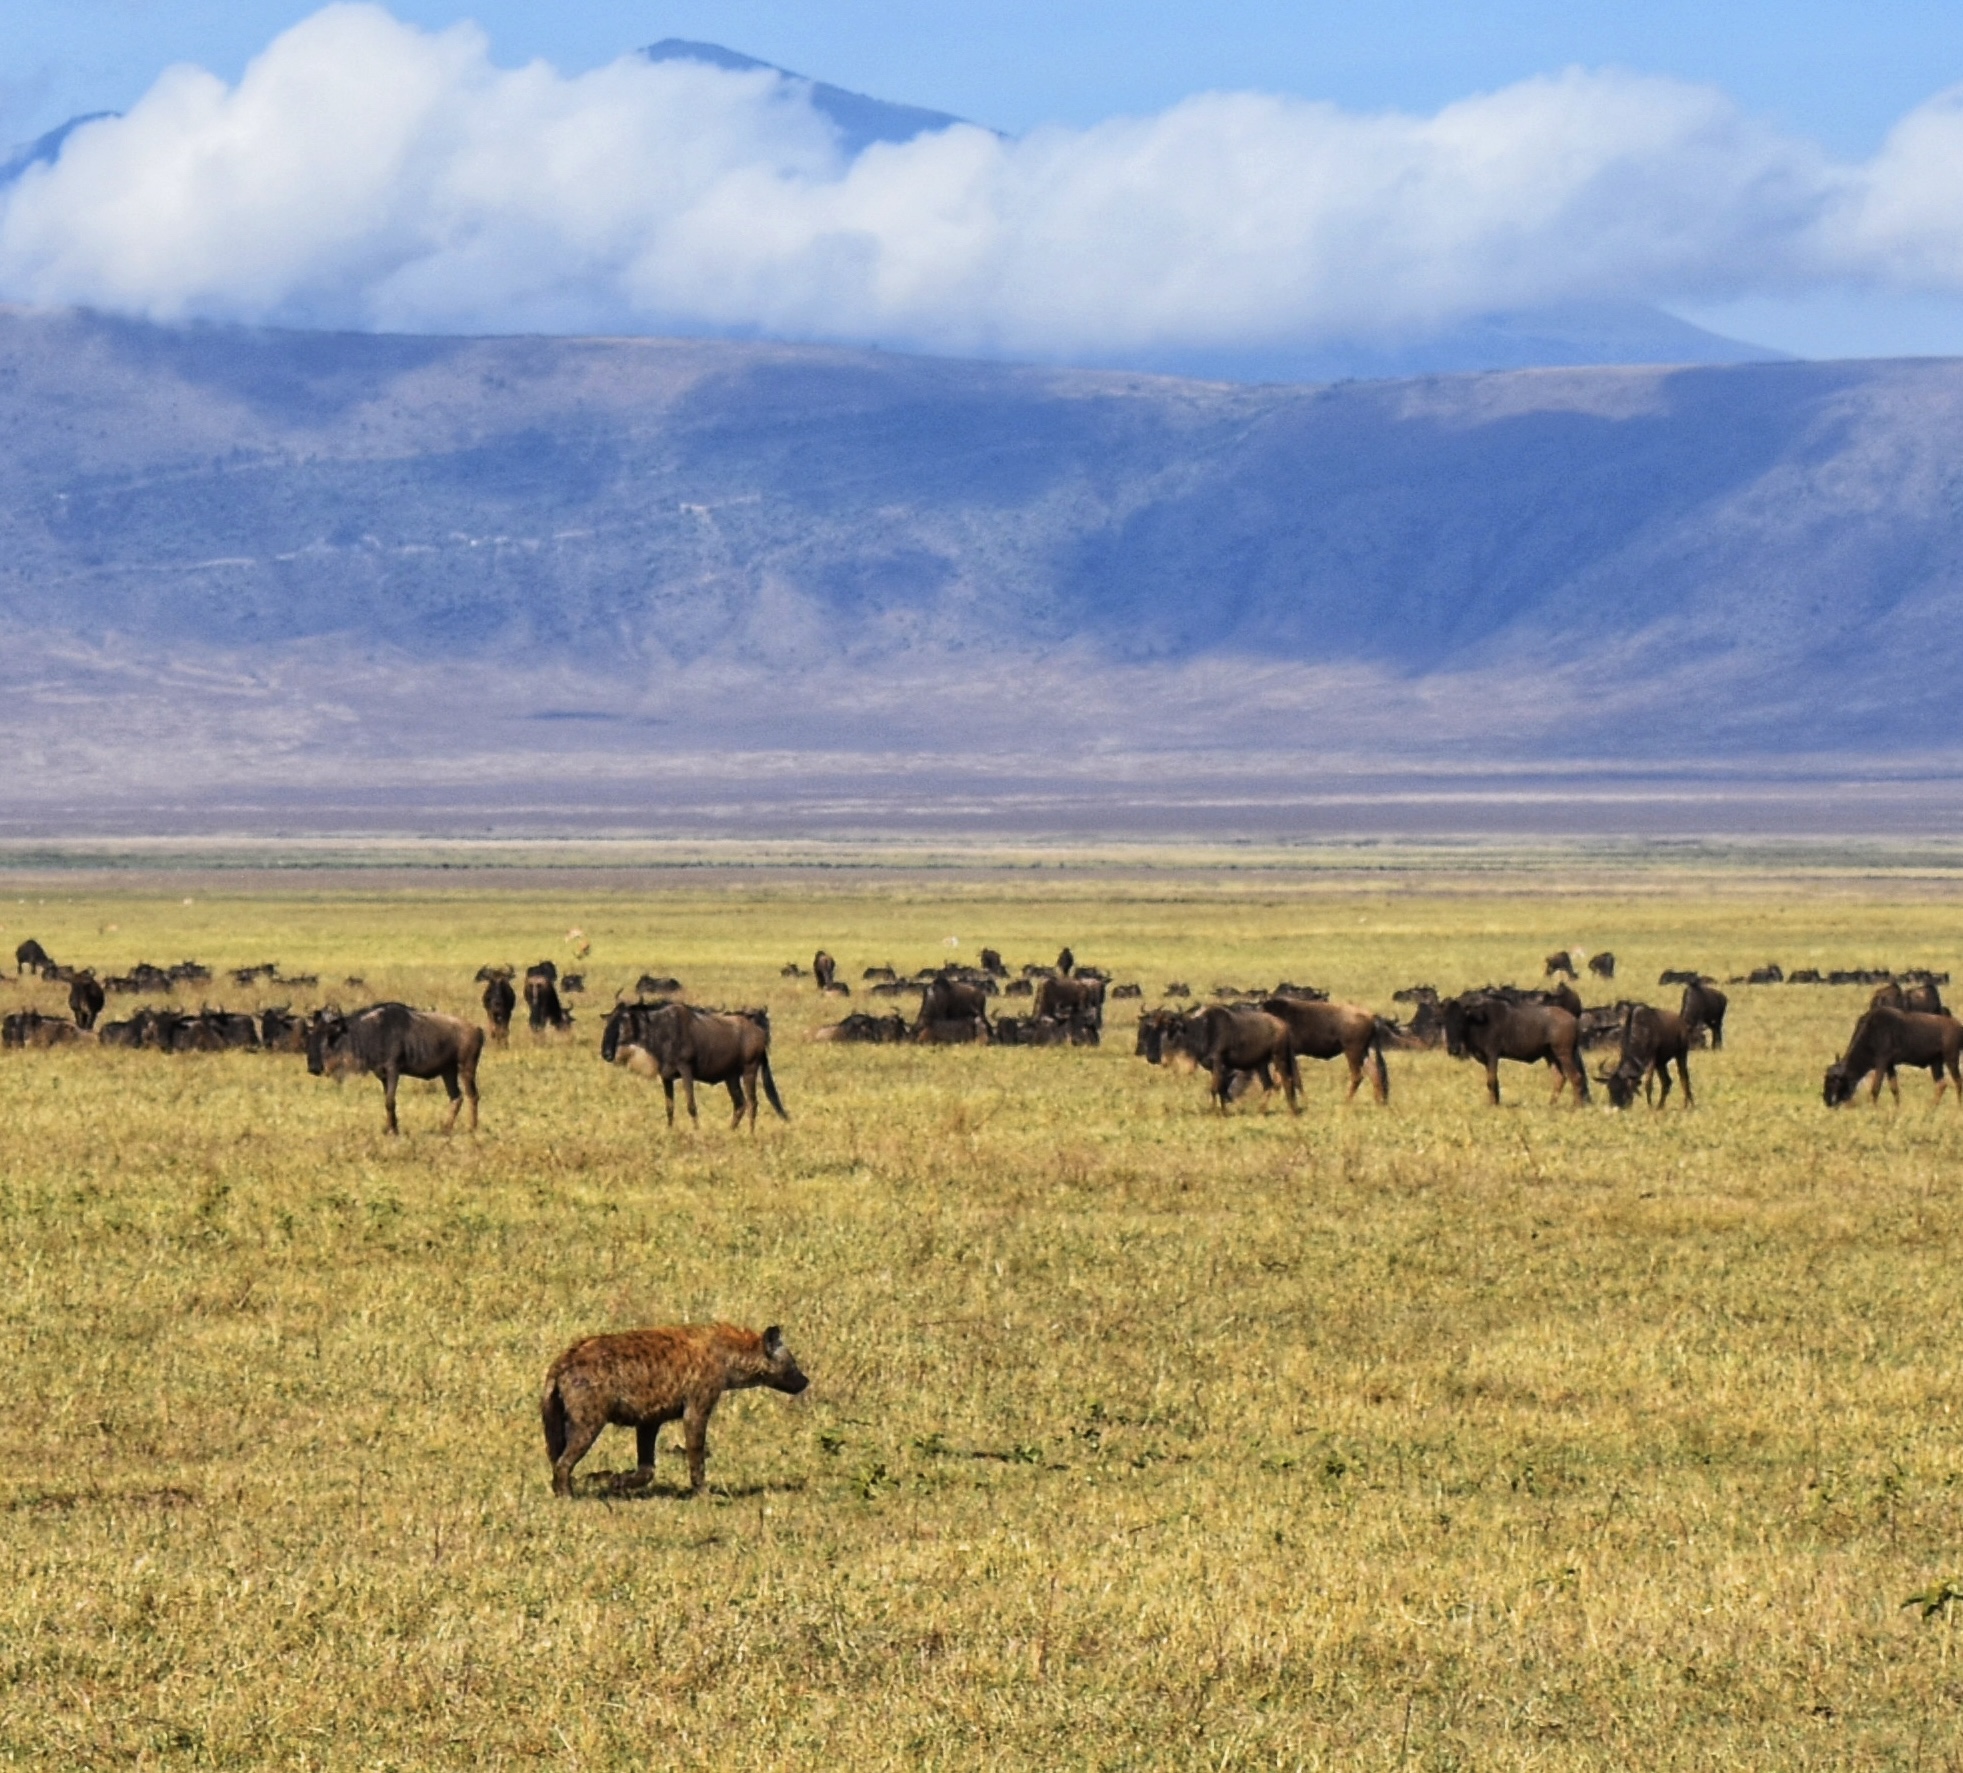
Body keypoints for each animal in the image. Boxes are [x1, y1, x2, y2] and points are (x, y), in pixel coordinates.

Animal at [537, 1319, 804, 1500]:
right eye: (793, 1364)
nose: (806, 1381)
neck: (727, 1357)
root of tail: (560, 1363)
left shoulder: (649, 1418)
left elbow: (647, 1466)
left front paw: (619, 1482)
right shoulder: (699, 1400)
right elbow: (696, 1450)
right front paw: (704, 1493)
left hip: (553, 1413)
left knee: (555, 1454)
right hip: (589, 1418)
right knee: (565, 1460)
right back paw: (567, 1496)